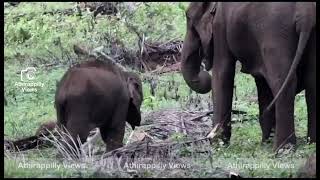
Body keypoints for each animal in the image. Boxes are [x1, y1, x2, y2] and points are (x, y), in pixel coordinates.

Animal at [181, 2, 316, 150]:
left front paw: (217, 144)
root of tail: (307, 13)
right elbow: (262, 82)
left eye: (188, 16)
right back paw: (310, 143)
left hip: (275, 33)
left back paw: (282, 149)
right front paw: (265, 142)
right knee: (312, 84)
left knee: (281, 82)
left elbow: (222, 73)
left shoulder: (220, 25)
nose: (203, 73)